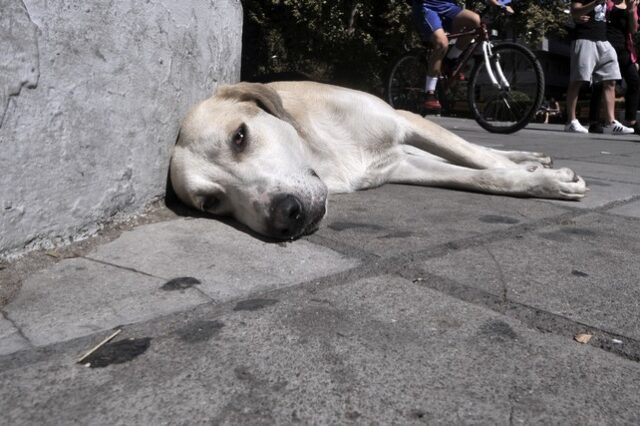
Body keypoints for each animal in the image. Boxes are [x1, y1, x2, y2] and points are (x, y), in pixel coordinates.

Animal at [169, 80, 584, 240]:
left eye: (239, 137)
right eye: (211, 203)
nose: (285, 217)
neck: (321, 153)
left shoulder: (406, 119)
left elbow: (478, 159)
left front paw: (547, 178)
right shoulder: (403, 167)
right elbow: (482, 175)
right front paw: (535, 179)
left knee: (478, 149)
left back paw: (529, 157)